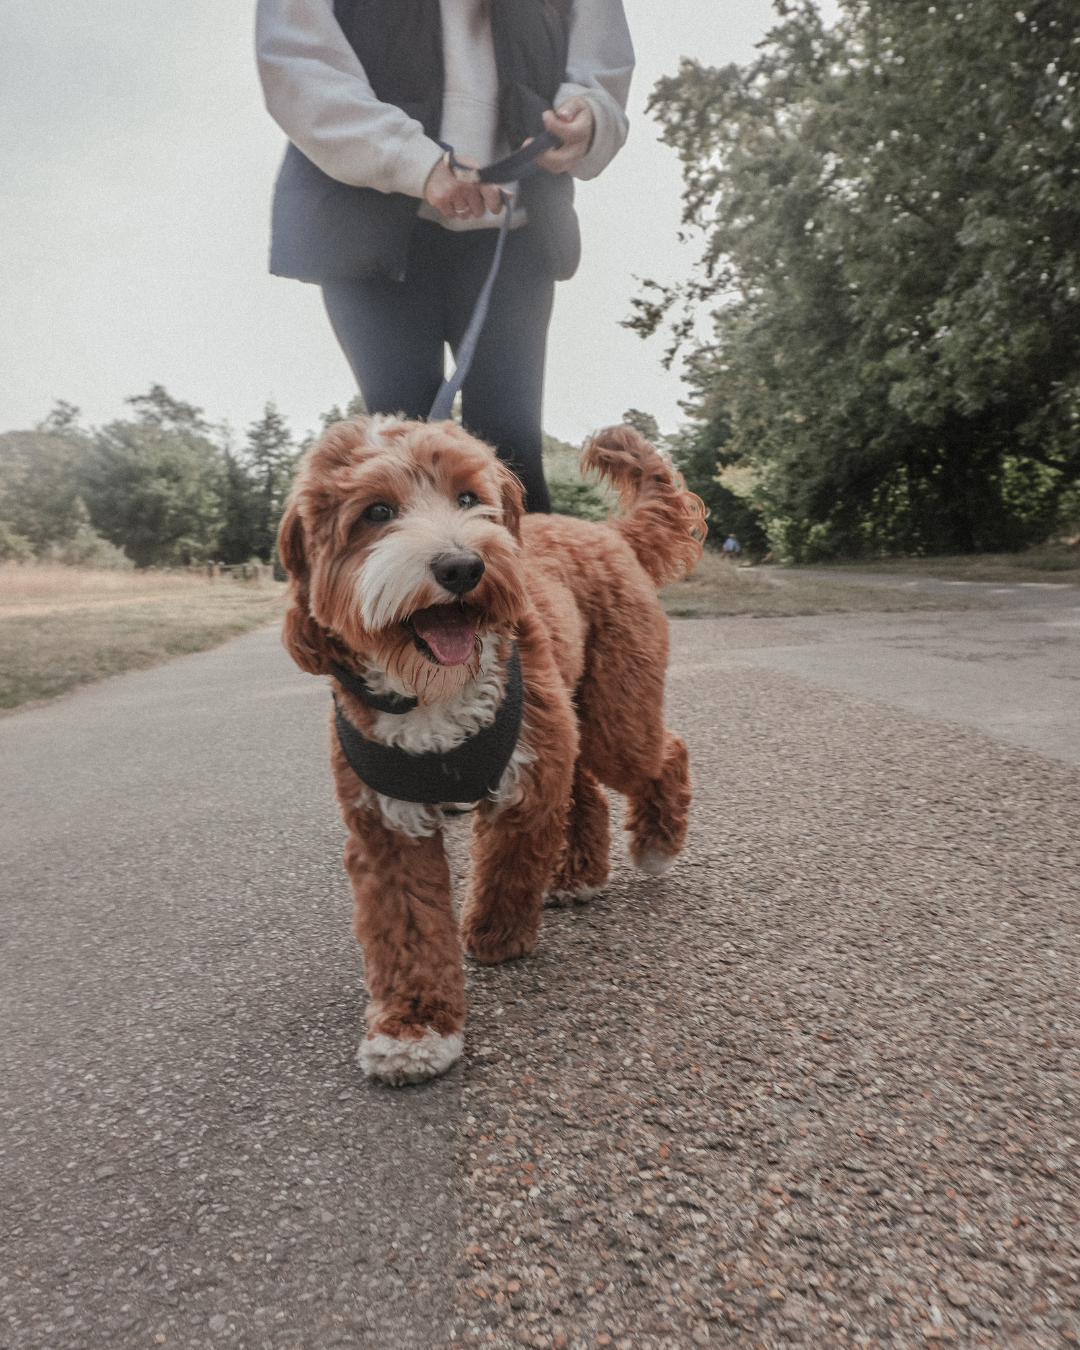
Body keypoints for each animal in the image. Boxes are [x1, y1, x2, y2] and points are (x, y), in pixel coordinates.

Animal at [274, 415, 702, 1080]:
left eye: (468, 498)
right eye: (377, 511)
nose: (461, 567)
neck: (432, 691)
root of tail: (605, 531)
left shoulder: (527, 778)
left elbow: (509, 862)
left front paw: (495, 935)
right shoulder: (387, 822)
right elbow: (407, 928)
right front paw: (414, 1029)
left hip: (613, 714)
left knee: (664, 752)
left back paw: (656, 843)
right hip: (570, 720)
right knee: (585, 789)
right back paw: (577, 875)